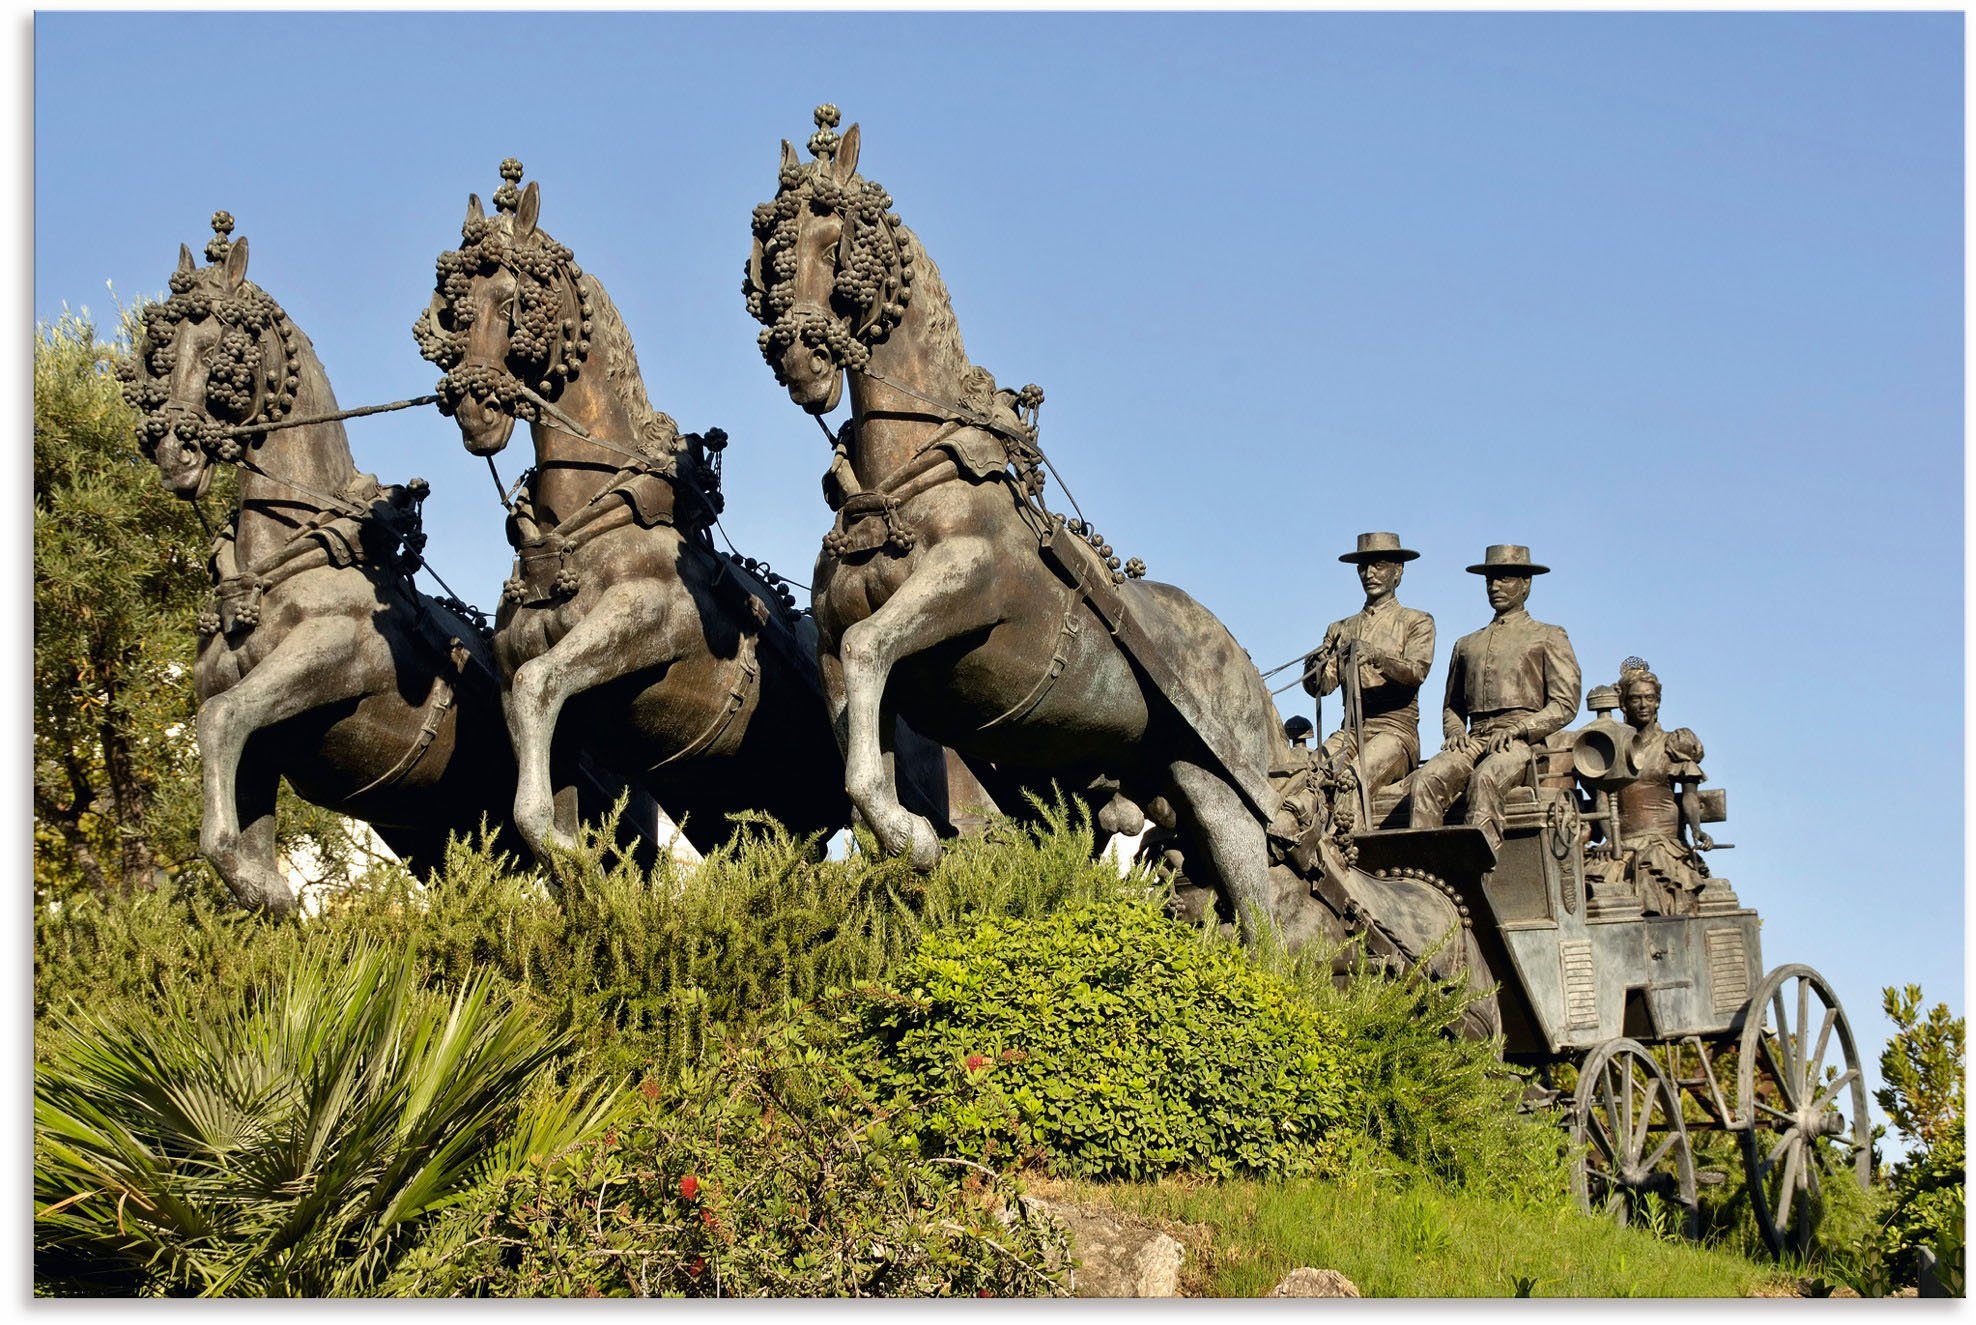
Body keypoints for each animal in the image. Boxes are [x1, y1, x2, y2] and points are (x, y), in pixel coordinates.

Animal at [412, 160, 853, 864]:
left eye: (513, 303)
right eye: (453, 309)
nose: (476, 409)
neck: (573, 532)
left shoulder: (643, 624)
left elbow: (541, 682)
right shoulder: (535, 692)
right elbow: (534, 724)